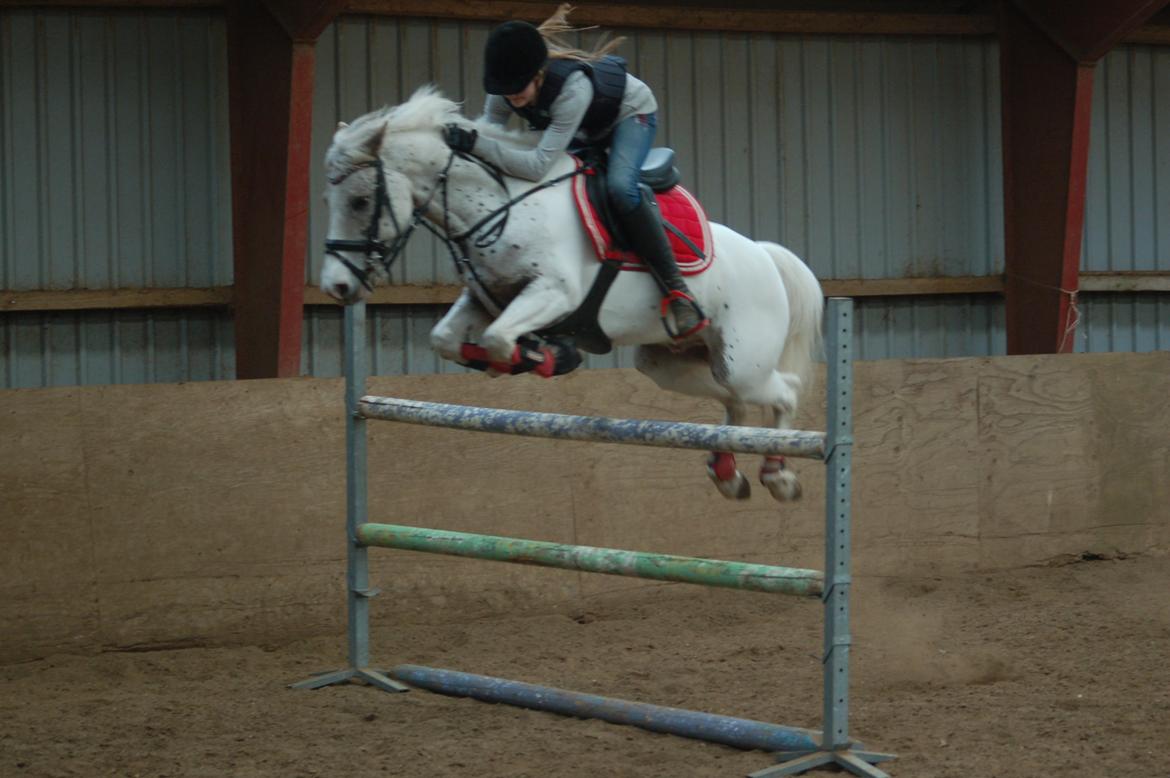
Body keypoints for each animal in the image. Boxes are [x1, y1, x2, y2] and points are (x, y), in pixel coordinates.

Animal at [320, 86, 823, 503]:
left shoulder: (553, 293)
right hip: (671, 362)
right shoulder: (488, 297)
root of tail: (764, 255)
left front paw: (546, 356)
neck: (502, 204)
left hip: (744, 359)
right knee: (732, 398)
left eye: (361, 201)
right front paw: (518, 358)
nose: (337, 286)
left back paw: (778, 474)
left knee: (783, 391)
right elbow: (447, 339)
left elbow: (499, 338)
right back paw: (727, 472)